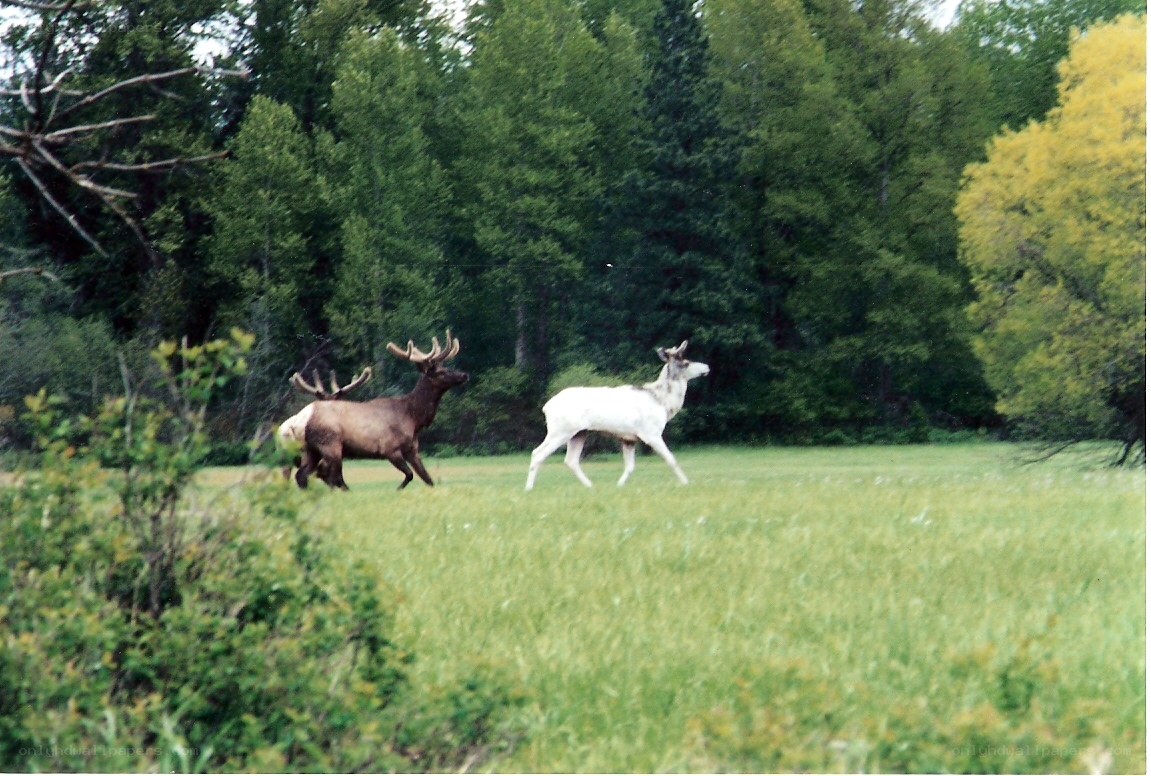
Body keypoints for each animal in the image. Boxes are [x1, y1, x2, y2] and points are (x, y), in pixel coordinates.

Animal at [294, 330, 468, 490]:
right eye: (440, 372)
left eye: (445, 366)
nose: (464, 375)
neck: (414, 419)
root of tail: (303, 422)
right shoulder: (389, 449)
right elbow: (410, 475)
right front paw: (398, 489)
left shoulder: (412, 450)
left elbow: (428, 479)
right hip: (331, 445)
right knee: (331, 476)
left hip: (312, 450)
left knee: (302, 474)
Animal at [525, 340, 710, 491]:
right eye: (686, 362)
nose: (707, 367)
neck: (663, 403)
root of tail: (546, 407)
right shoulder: (651, 433)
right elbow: (671, 459)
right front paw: (686, 483)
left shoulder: (629, 438)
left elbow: (630, 467)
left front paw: (619, 486)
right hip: (561, 430)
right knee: (538, 453)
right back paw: (529, 488)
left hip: (579, 433)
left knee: (570, 460)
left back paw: (590, 486)